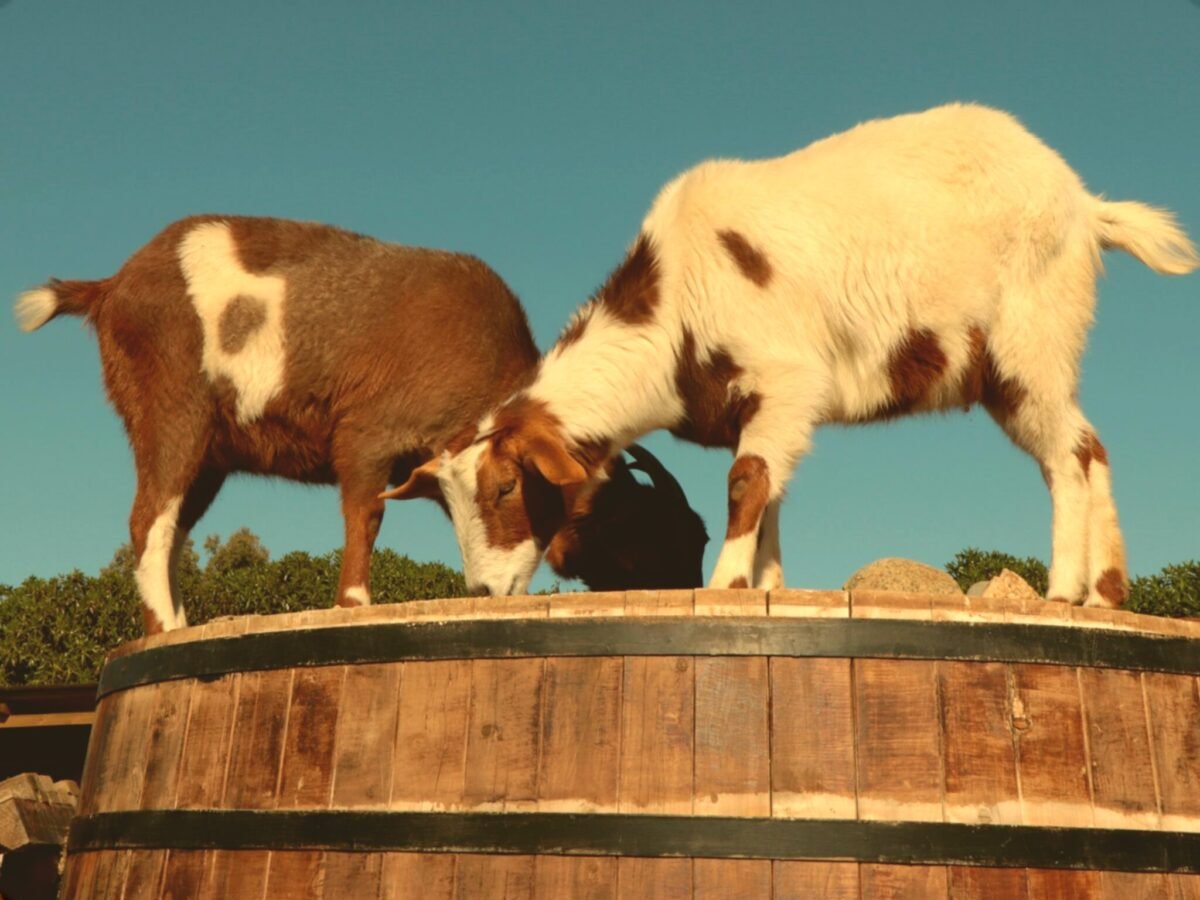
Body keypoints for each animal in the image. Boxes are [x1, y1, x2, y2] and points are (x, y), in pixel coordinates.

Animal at [15, 215, 706, 633]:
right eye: (652, 533)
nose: (489, 591)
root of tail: (108, 289)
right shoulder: (368, 436)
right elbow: (365, 514)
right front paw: (353, 605)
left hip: (209, 451)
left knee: (173, 526)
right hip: (171, 408)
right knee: (149, 521)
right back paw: (167, 631)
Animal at [398, 103, 1198, 603]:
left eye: (507, 487)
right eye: (447, 502)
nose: (483, 589)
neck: (674, 308)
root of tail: (1087, 208)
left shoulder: (785, 381)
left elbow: (747, 482)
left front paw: (726, 585)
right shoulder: (762, 409)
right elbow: (773, 488)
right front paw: (769, 584)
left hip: (1028, 347)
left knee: (1065, 457)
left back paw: (1061, 591)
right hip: (1031, 365)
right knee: (1089, 445)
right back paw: (1105, 594)